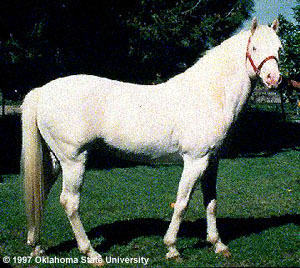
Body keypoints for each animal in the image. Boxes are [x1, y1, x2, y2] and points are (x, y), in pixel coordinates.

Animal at [21, 17, 282, 264]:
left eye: (279, 48)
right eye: (255, 47)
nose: (273, 79)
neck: (208, 95)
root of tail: (43, 91)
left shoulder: (212, 161)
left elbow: (211, 202)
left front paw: (218, 244)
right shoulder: (195, 161)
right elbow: (182, 202)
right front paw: (172, 248)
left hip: (55, 161)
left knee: (40, 195)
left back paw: (37, 247)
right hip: (74, 161)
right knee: (69, 202)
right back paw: (91, 253)